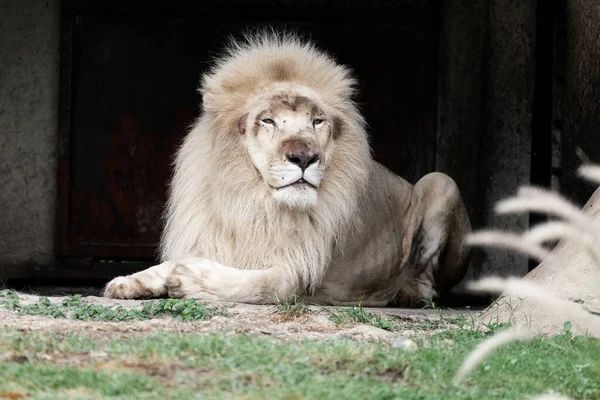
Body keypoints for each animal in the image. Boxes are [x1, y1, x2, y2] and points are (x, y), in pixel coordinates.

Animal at [104, 32, 474, 306]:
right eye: (268, 121)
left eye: (317, 121)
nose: (304, 157)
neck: (253, 203)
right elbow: (168, 264)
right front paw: (130, 280)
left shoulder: (295, 274)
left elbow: (253, 283)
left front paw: (190, 279)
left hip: (441, 182)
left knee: (428, 282)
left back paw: (406, 293)